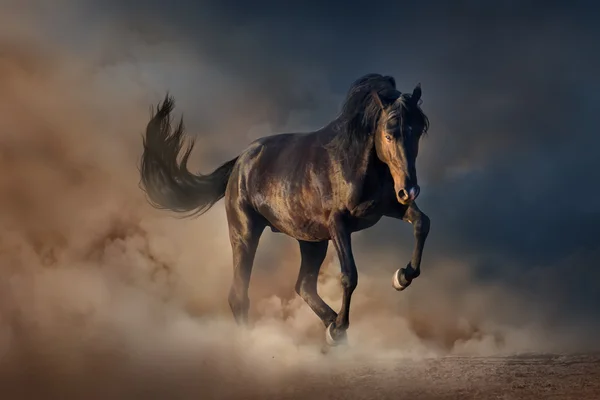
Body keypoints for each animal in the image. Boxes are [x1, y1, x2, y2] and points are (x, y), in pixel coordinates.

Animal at [139, 72, 432, 346]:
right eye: (388, 134)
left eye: (418, 131)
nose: (410, 190)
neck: (353, 163)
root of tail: (240, 161)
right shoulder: (339, 224)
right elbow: (350, 275)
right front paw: (341, 326)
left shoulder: (389, 207)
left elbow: (422, 222)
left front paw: (402, 277)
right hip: (245, 233)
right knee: (240, 295)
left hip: (312, 240)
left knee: (303, 286)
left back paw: (331, 328)